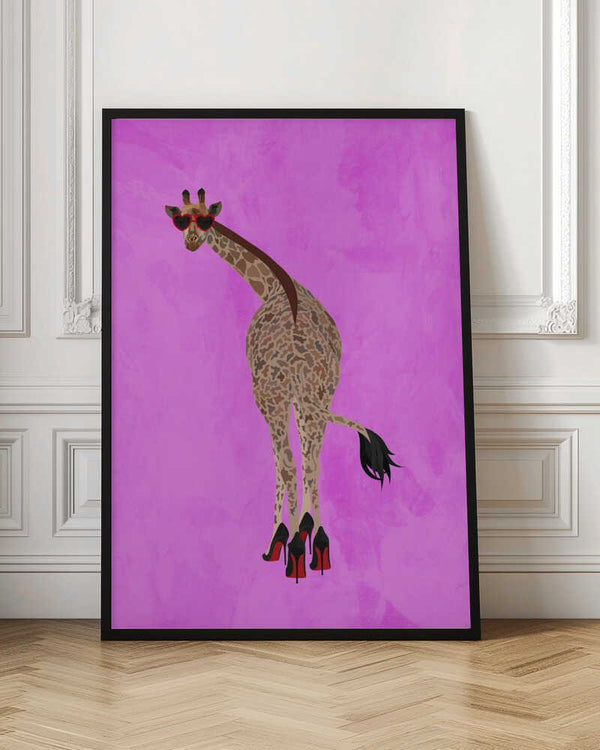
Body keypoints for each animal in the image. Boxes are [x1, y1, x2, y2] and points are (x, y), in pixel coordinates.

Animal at [165, 189, 399, 581]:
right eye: (181, 220)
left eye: (206, 220)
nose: (192, 242)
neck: (275, 285)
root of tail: (297, 363)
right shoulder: (310, 399)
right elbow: (306, 459)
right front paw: (301, 532)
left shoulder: (275, 398)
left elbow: (282, 463)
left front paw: (284, 535)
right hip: (316, 395)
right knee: (311, 460)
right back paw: (317, 546)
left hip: (273, 397)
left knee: (289, 460)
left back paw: (287, 548)